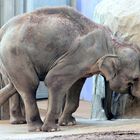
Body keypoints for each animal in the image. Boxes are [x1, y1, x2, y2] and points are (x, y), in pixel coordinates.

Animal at [0, 6, 139, 132]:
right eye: (135, 78)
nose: (113, 117)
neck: (113, 44)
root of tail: (4, 29)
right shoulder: (82, 55)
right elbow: (53, 80)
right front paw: (52, 129)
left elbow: (76, 85)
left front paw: (68, 123)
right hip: (16, 54)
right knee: (30, 85)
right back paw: (36, 127)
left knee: (15, 84)